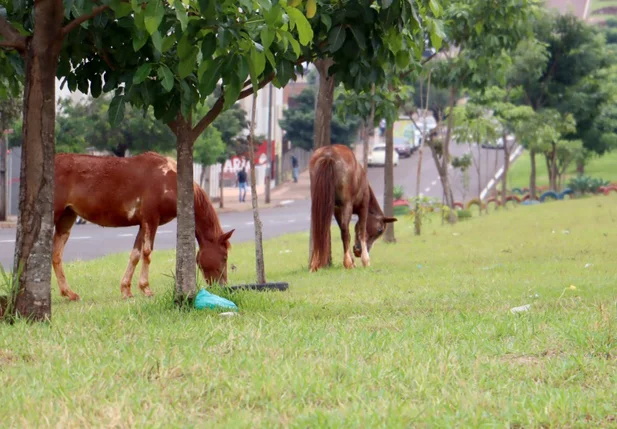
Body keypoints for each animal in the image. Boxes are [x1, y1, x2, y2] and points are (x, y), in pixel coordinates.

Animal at [53, 152, 235, 300]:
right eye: (225, 257)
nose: (222, 287)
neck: (168, 180)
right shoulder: (151, 220)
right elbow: (147, 253)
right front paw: (145, 288)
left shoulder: (143, 224)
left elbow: (135, 254)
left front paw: (126, 290)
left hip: (67, 218)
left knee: (56, 255)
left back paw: (69, 293)